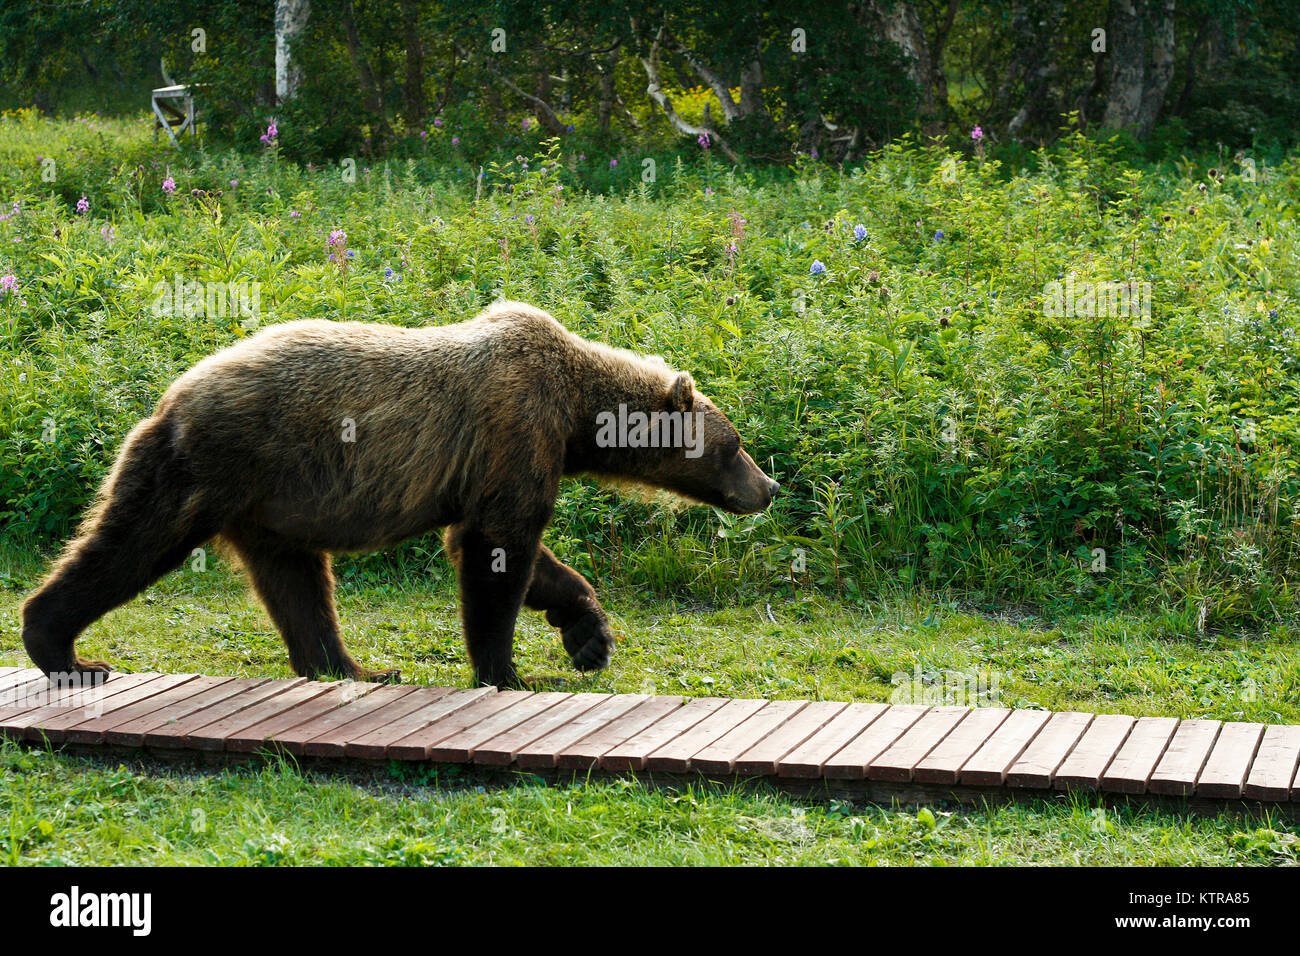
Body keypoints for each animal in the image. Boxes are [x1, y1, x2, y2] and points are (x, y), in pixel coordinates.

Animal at [20, 303, 774, 686]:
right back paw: (62, 646)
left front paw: (589, 635)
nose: (767, 487)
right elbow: (498, 550)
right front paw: (506, 668)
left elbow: (517, 554)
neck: (575, 412)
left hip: (271, 506)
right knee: (130, 543)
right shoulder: (514, 427)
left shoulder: (505, 461)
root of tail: (170, 396)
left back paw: (348, 666)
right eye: (734, 443)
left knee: (297, 583)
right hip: (214, 465)